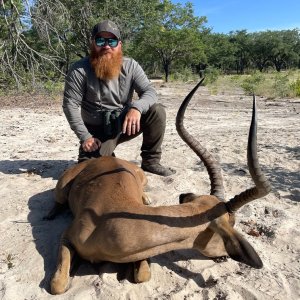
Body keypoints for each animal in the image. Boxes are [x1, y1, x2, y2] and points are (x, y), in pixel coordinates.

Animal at [47, 78, 272, 294]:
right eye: (231, 223)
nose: (225, 256)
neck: (108, 221)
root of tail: (106, 159)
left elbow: (142, 275)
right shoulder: (67, 238)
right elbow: (57, 285)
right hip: (62, 188)